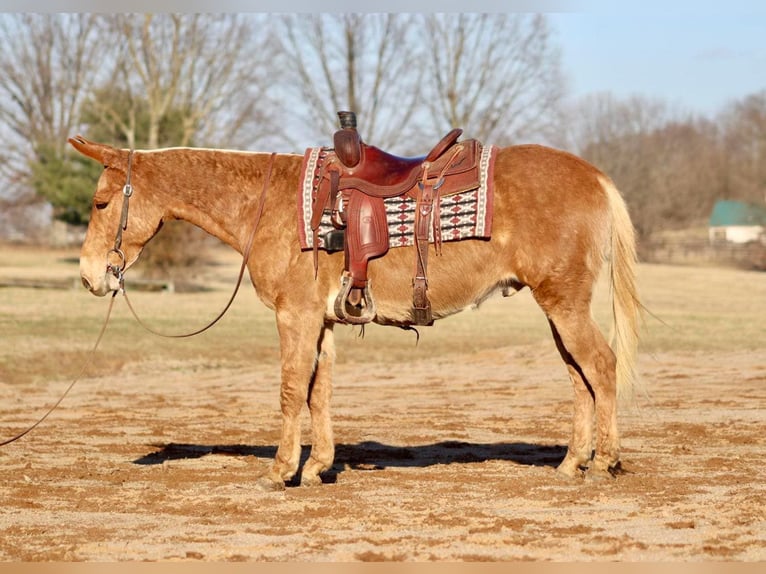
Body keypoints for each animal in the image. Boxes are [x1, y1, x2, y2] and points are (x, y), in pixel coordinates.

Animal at [68, 134, 641, 490]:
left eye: (100, 203)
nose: (90, 277)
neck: (268, 203)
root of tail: (595, 177)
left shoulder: (295, 317)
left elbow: (290, 390)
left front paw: (280, 471)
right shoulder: (321, 322)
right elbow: (317, 392)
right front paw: (318, 467)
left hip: (564, 304)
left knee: (602, 367)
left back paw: (604, 463)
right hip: (559, 308)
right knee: (580, 377)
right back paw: (572, 463)